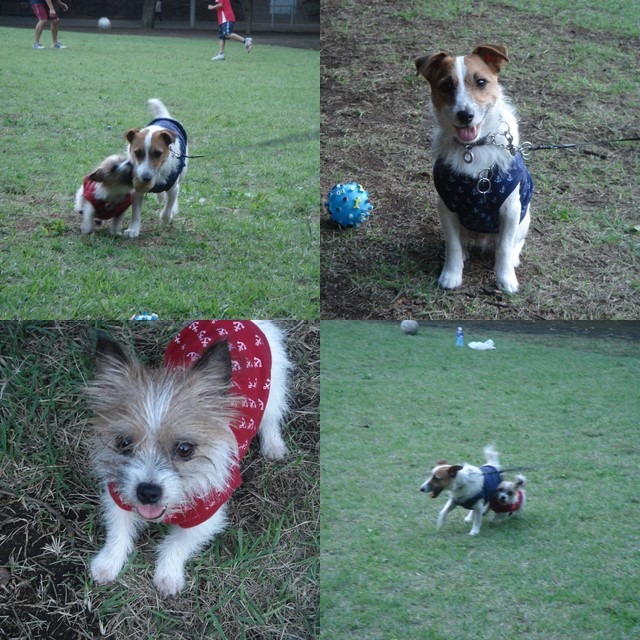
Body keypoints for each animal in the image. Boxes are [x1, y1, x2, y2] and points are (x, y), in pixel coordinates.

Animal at [86, 320, 290, 597]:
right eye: (124, 443)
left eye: (185, 449)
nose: (148, 492)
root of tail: (243, 322)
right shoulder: (118, 495)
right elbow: (117, 531)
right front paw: (107, 563)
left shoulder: (208, 516)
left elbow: (177, 544)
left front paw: (168, 575)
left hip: (274, 389)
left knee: (271, 419)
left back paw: (273, 445)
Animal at [123, 98, 189, 238]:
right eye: (137, 153)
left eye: (158, 153)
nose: (146, 178)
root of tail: (165, 117)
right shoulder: (137, 190)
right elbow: (136, 213)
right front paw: (133, 230)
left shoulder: (173, 187)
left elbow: (168, 207)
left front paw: (166, 217)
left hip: (182, 172)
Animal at [415, 44, 533, 293]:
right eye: (446, 85)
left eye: (481, 82)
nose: (465, 115)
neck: (473, 148)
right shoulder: (447, 207)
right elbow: (452, 245)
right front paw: (451, 274)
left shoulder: (510, 210)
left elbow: (504, 247)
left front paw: (506, 279)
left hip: (524, 218)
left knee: (515, 242)